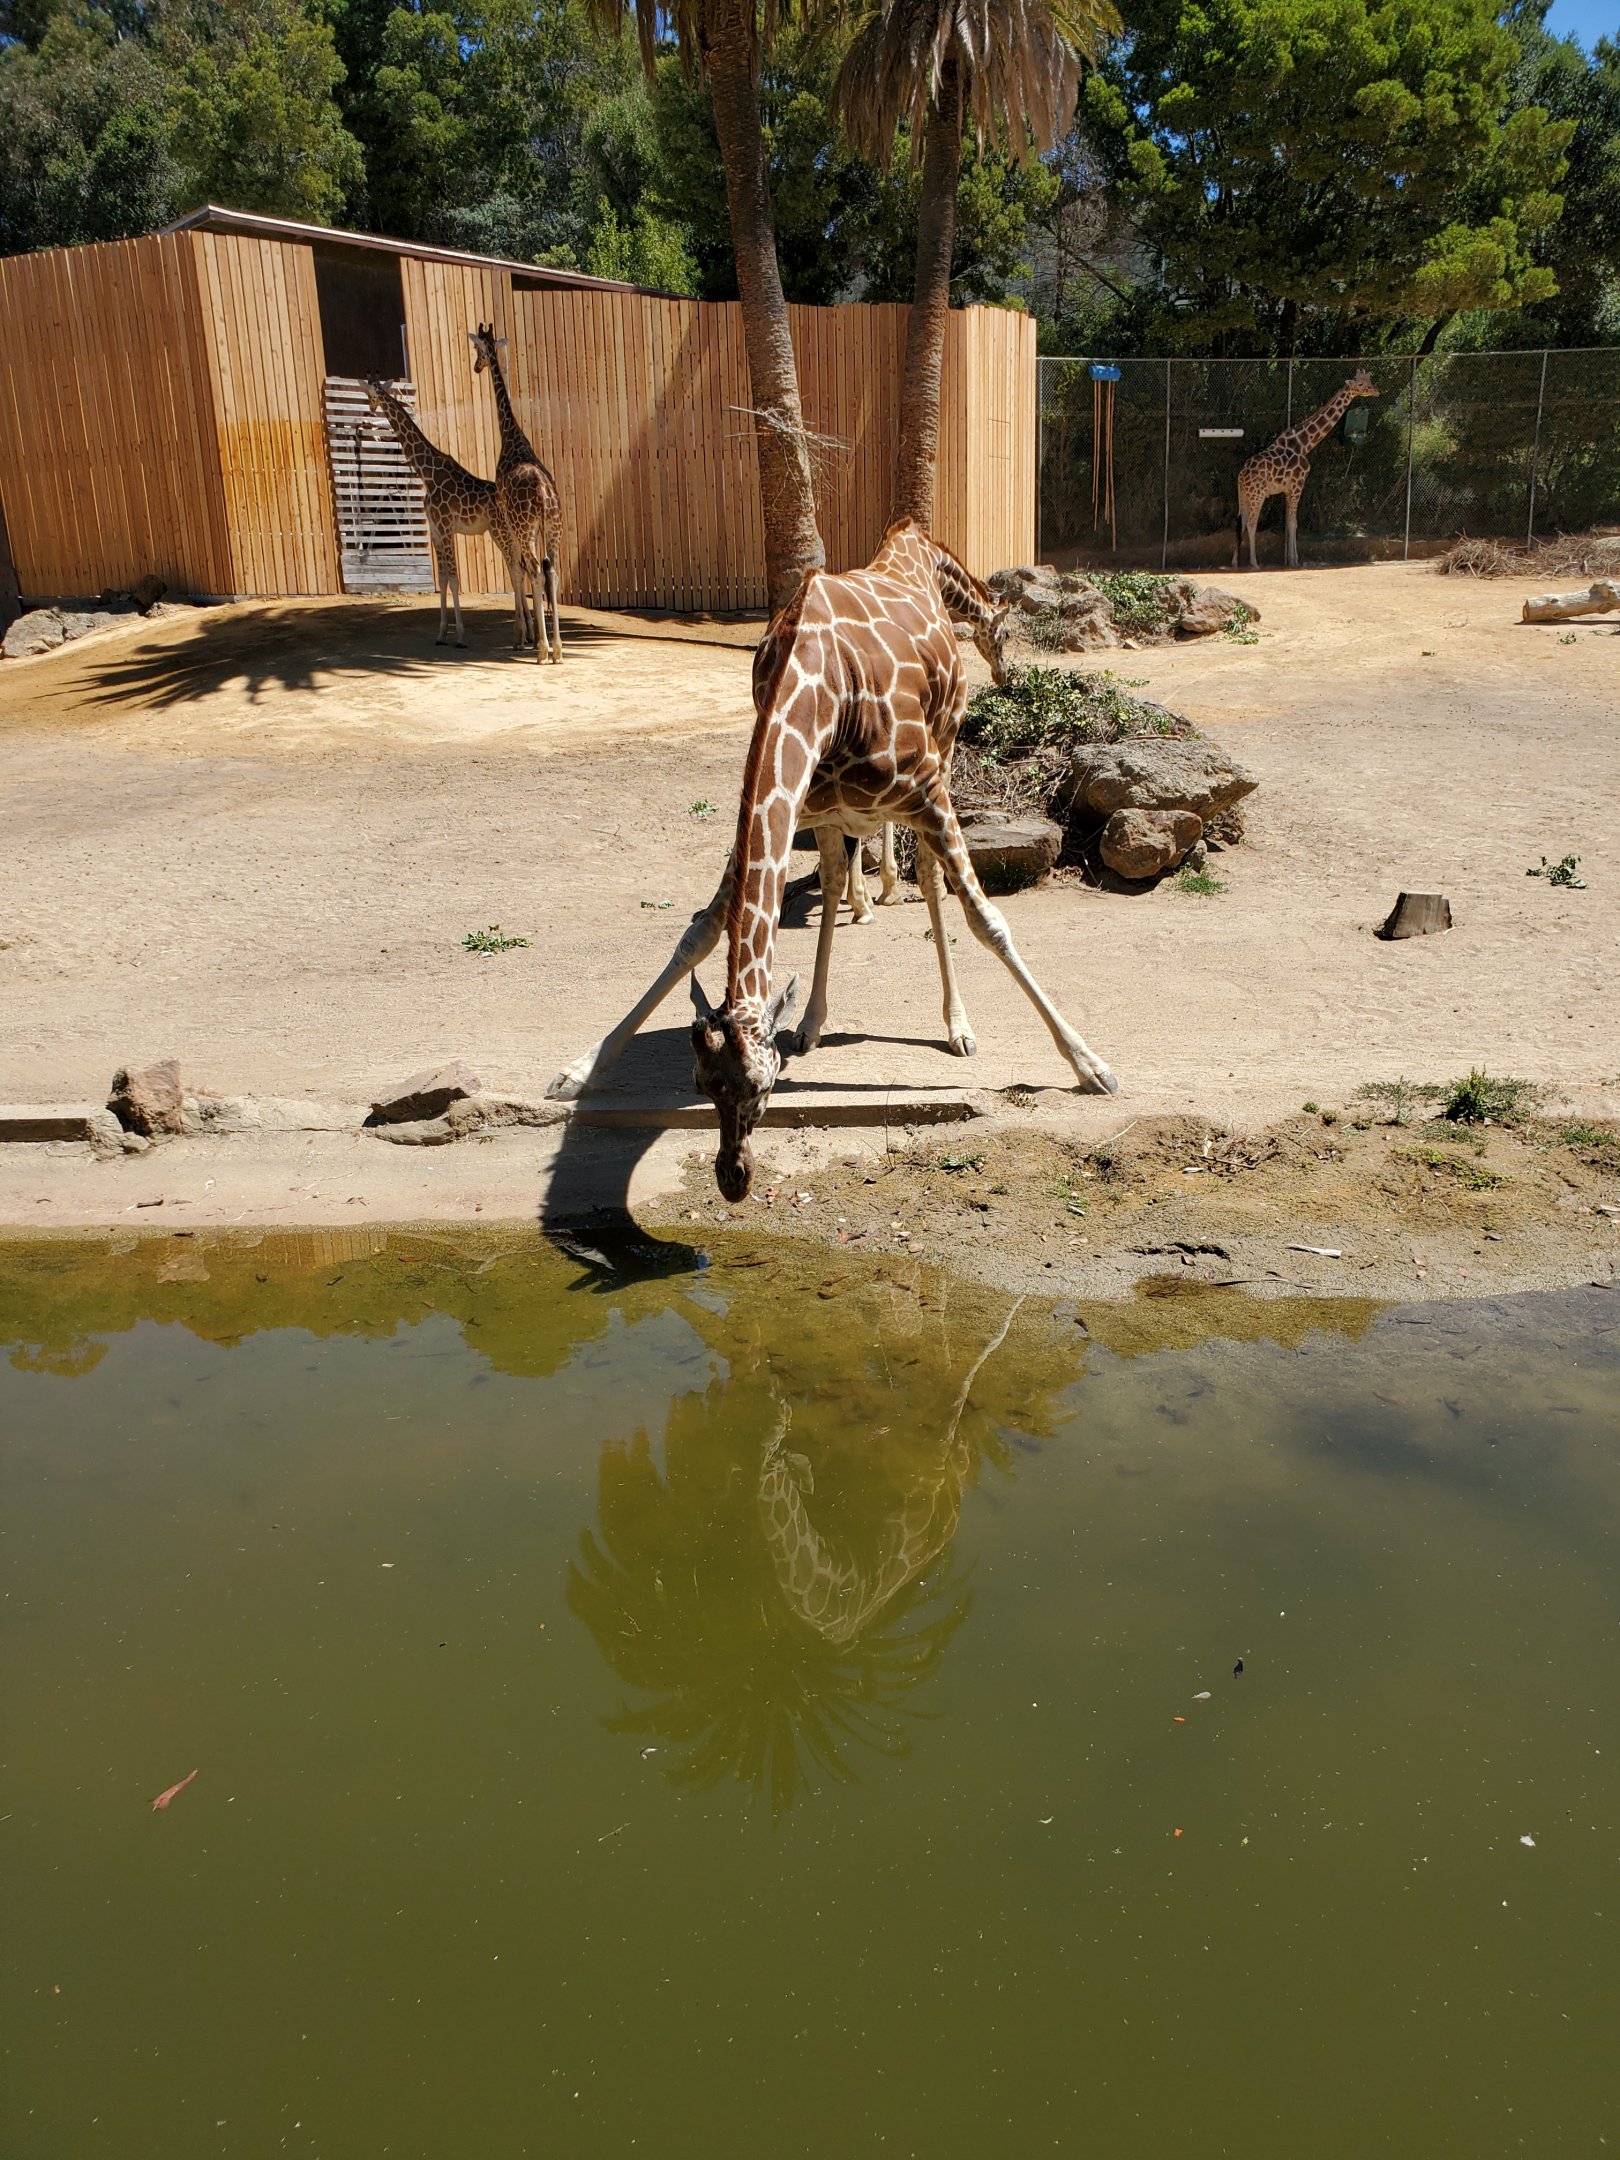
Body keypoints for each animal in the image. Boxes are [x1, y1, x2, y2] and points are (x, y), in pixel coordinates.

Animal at [362, 379, 498, 648]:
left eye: (371, 394)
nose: (370, 410)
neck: (428, 474)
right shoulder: (435, 529)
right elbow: (443, 579)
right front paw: (441, 634)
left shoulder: (445, 527)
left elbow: (454, 580)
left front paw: (461, 637)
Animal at [469, 323, 563, 663]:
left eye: (478, 349)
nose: (476, 367)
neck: (510, 436)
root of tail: (545, 496)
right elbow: (523, 569)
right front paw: (529, 635)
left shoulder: (509, 521)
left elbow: (515, 569)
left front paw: (521, 638)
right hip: (553, 528)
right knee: (552, 572)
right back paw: (557, 648)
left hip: (526, 527)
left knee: (534, 570)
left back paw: (544, 649)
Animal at [547, 517, 1116, 1200]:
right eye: (701, 1084)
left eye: (764, 1084)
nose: (732, 1178)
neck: (826, 695)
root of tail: (912, 543)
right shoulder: (797, 806)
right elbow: (700, 933)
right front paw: (579, 1068)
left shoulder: (927, 789)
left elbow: (989, 923)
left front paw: (1090, 1064)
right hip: (839, 810)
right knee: (842, 872)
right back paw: (813, 1021)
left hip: (947, 750)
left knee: (931, 880)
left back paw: (957, 1026)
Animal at [1233, 368, 1379, 570]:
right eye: (1360, 384)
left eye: (1370, 381)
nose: (1376, 391)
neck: (1304, 444)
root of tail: (1241, 476)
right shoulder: (1297, 484)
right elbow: (1293, 523)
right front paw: (1294, 560)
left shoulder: (1288, 490)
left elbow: (1289, 522)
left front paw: (1290, 559)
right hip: (1258, 494)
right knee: (1252, 523)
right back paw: (1254, 563)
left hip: (1244, 494)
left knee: (1241, 521)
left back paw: (1235, 562)